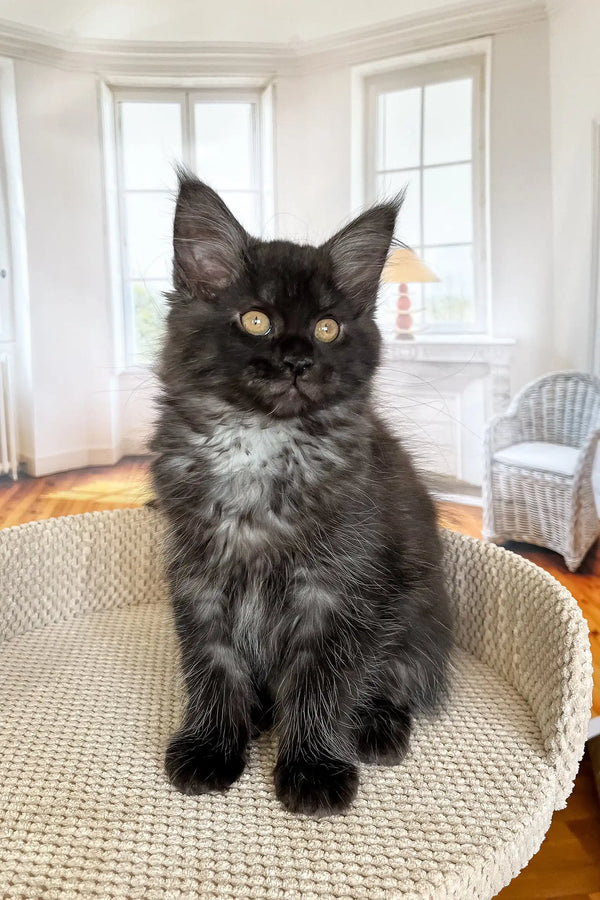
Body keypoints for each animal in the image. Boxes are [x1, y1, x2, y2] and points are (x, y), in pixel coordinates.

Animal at [152, 174, 452, 816]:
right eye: (255, 320)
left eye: (327, 328)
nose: (297, 361)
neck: (261, 444)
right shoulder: (199, 576)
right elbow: (212, 667)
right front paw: (212, 747)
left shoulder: (341, 590)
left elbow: (323, 683)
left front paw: (313, 768)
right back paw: (260, 713)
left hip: (420, 618)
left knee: (402, 680)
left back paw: (377, 727)